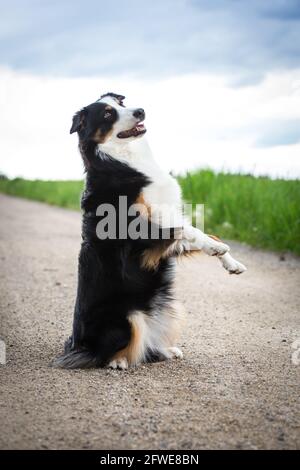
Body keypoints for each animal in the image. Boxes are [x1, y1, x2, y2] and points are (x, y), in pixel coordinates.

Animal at [54, 92, 246, 370]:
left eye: (121, 103)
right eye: (107, 114)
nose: (140, 111)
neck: (123, 159)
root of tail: (80, 346)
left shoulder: (165, 234)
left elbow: (200, 231)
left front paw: (231, 262)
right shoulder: (140, 239)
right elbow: (187, 229)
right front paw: (217, 248)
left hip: (171, 309)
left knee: (146, 347)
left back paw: (165, 350)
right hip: (127, 317)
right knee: (108, 353)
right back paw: (119, 361)